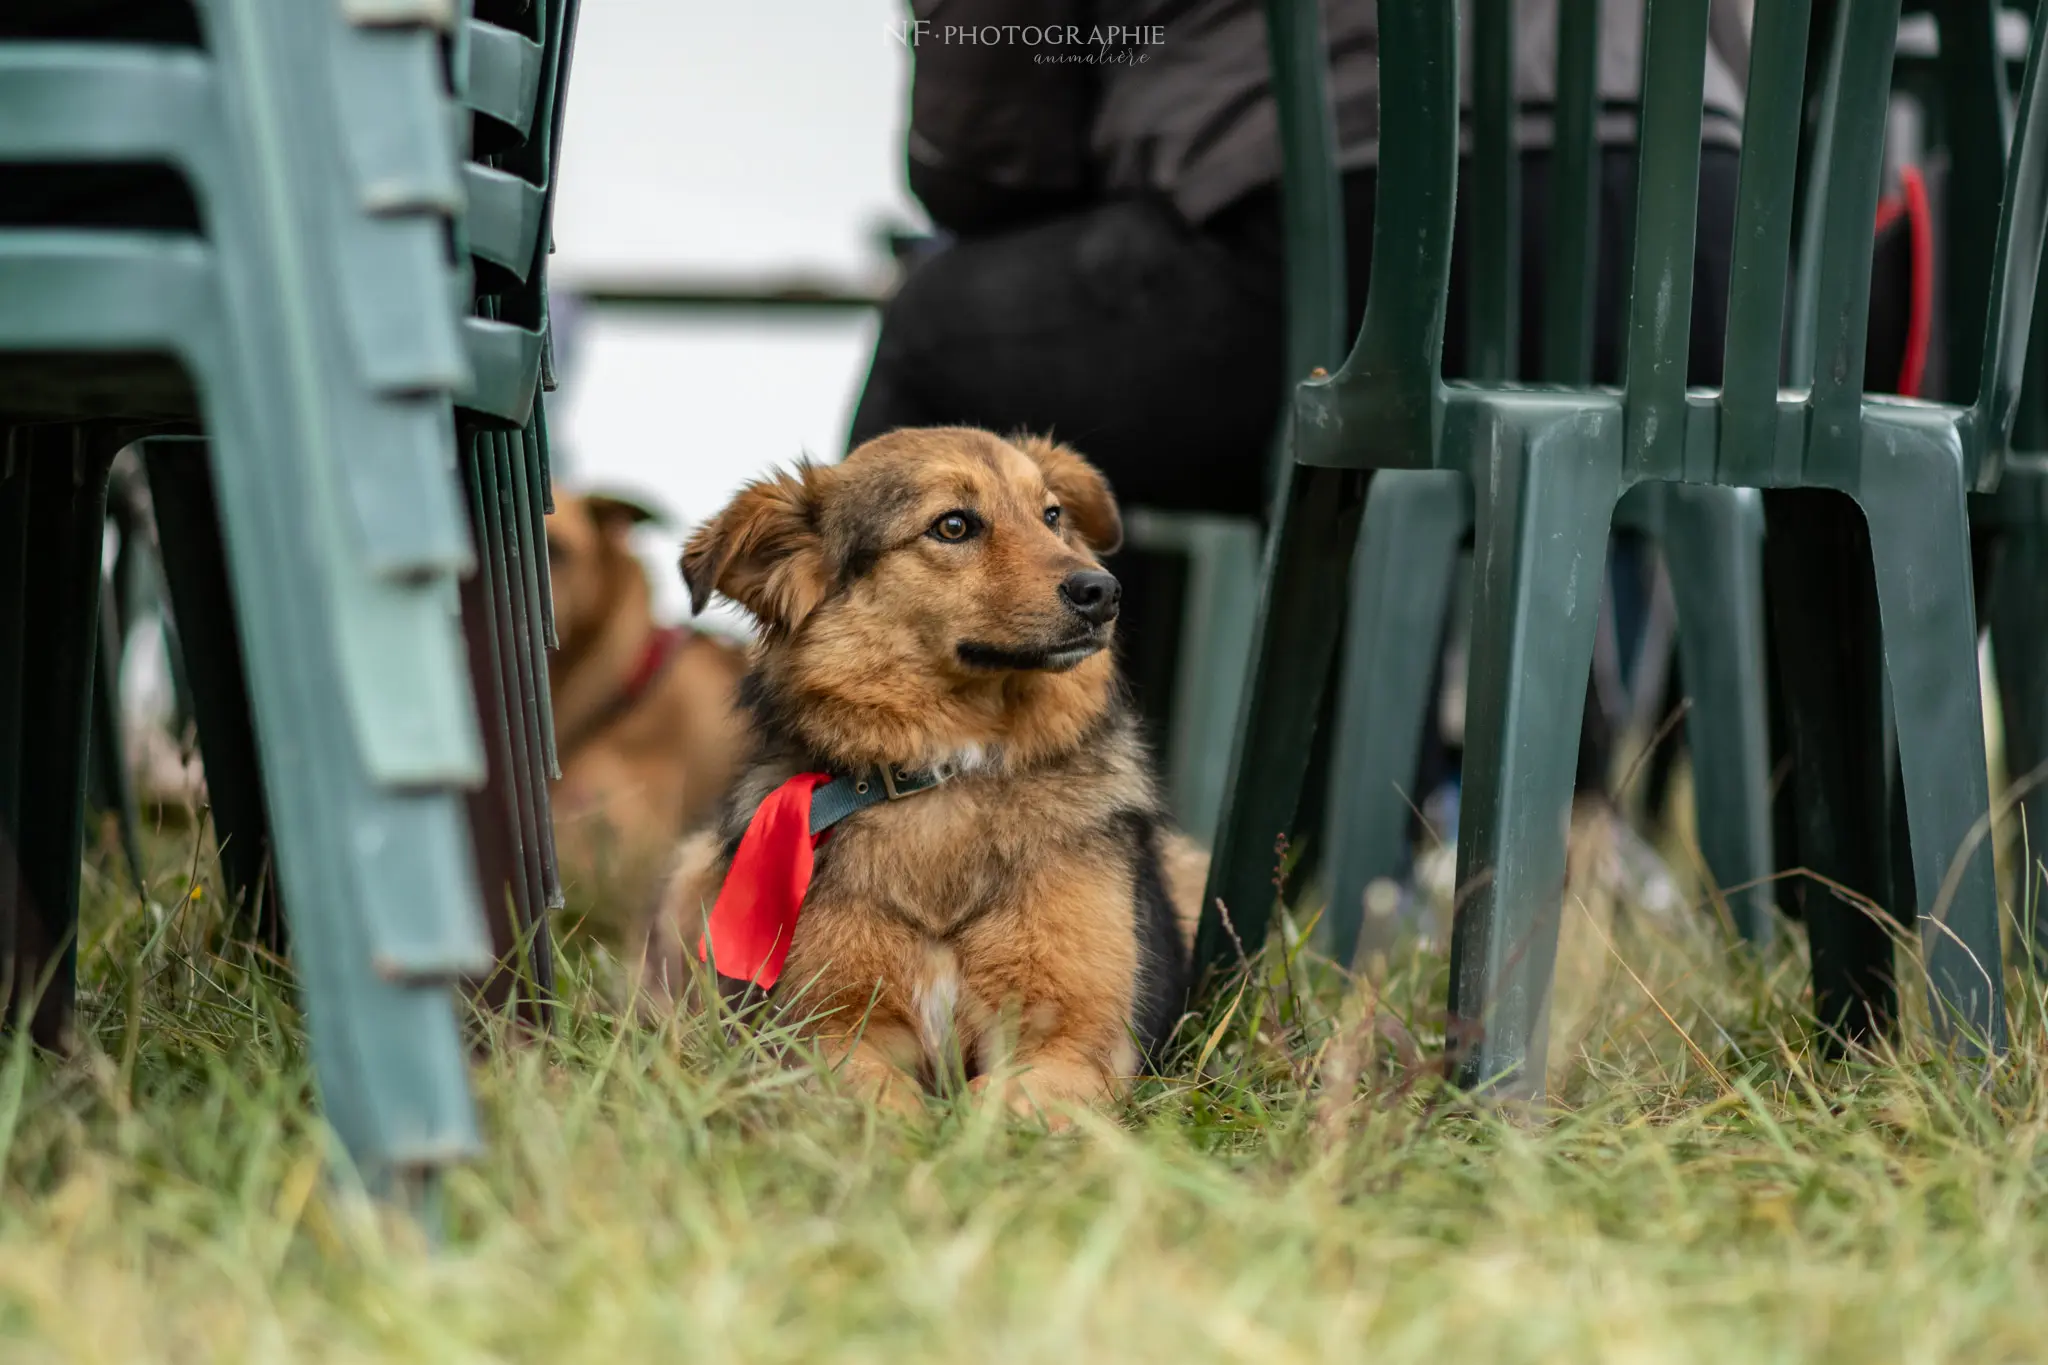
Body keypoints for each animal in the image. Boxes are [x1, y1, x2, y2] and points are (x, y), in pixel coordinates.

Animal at [651, 431, 1196, 1129]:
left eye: (1051, 516)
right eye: (953, 526)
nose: (1104, 591)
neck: (949, 772)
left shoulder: (1074, 1044)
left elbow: (1004, 1104)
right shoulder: (822, 1036)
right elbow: (882, 1100)